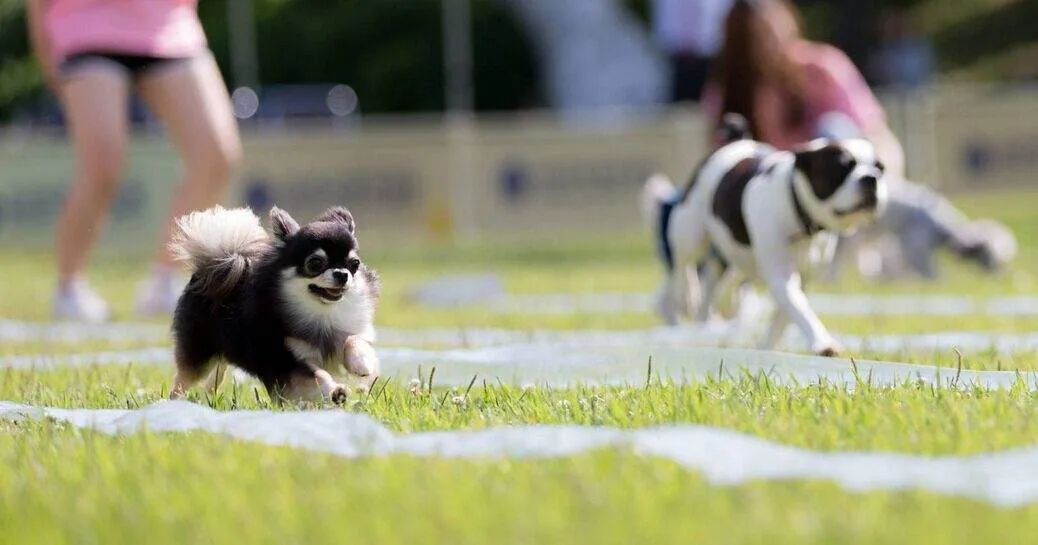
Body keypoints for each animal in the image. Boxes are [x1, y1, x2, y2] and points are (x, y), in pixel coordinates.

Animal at [168, 203, 379, 398]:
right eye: (315, 264)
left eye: (354, 264)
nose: (342, 274)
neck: (321, 312)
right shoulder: (283, 359)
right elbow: (317, 376)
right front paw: (335, 392)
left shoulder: (345, 333)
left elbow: (353, 340)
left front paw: (362, 363)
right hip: (200, 354)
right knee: (183, 380)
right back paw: (177, 403)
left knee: (216, 374)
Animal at [643, 113, 888, 352]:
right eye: (842, 167)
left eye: (880, 168)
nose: (871, 178)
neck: (799, 212)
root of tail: (736, 141)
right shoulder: (782, 276)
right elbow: (800, 309)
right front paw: (822, 343)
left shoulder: (802, 278)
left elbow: (784, 315)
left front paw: (768, 346)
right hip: (690, 233)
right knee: (682, 266)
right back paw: (686, 296)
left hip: (730, 258)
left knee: (712, 283)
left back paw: (705, 323)